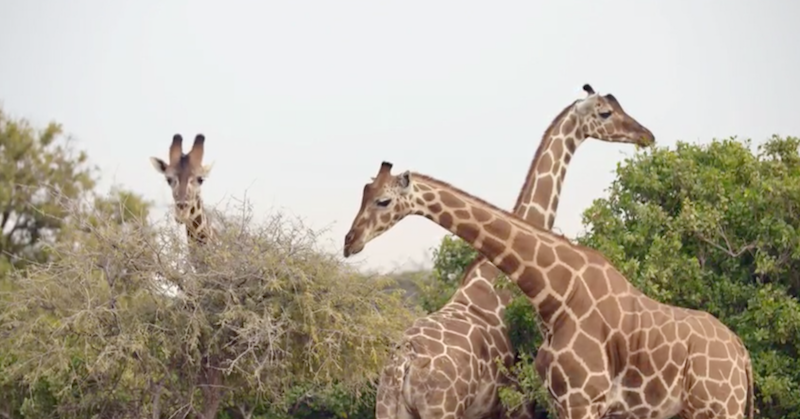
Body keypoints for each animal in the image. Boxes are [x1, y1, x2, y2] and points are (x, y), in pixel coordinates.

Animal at [340, 163, 752, 419]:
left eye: (383, 200)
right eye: (363, 194)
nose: (350, 242)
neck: (557, 294)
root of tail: (742, 353)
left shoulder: (582, 401)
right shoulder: (562, 402)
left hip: (720, 407)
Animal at [368, 84, 656, 419]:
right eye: (606, 113)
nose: (646, 135)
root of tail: (403, 367)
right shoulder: (517, 400)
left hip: (387, 406)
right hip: (441, 409)